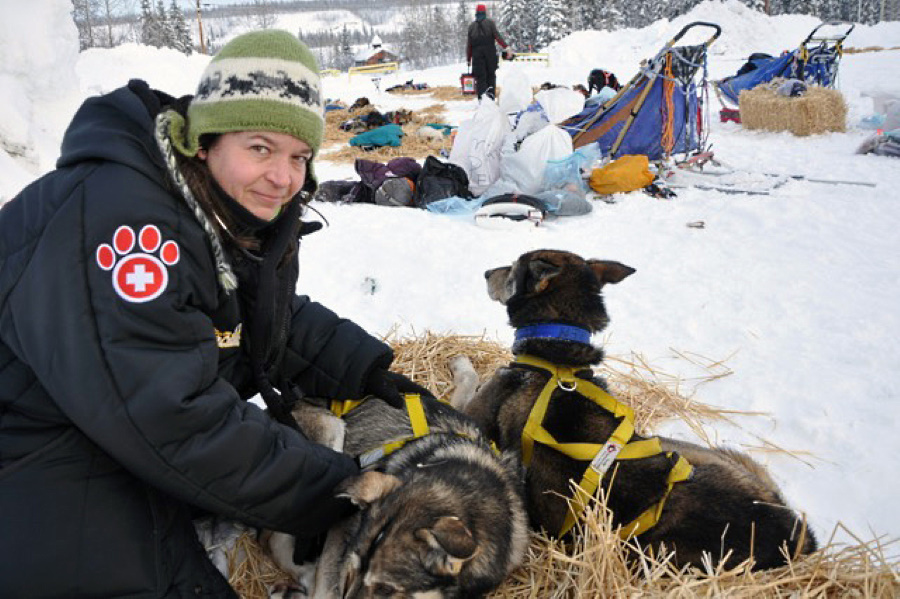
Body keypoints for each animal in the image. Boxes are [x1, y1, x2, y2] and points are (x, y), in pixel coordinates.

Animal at [450, 248, 816, 572]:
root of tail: (793, 535)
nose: (486, 272)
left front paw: (461, 361)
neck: (558, 353)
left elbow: (468, 381)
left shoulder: (475, 413)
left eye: (511, 268)